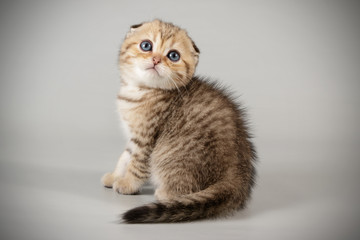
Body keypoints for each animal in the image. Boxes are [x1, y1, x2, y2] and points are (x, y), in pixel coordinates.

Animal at [100, 19, 256, 223]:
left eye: (173, 56)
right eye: (146, 45)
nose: (156, 59)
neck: (141, 90)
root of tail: (237, 176)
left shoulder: (147, 138)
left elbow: (137, 164)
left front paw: (128, 184)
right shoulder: (134, 137)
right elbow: (125, 157)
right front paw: (115, 176)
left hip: (172, 157)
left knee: (188, 188)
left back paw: (166, 194)